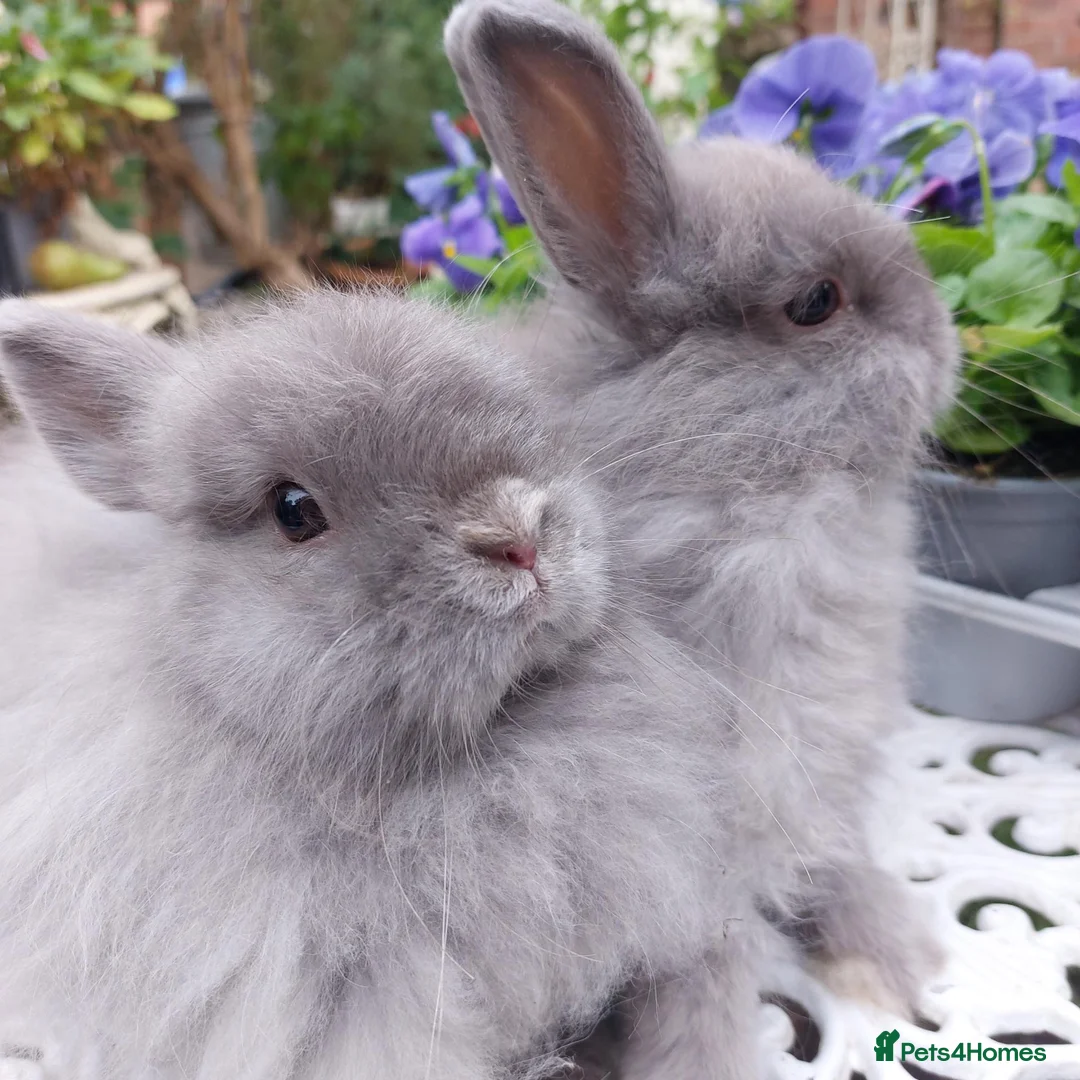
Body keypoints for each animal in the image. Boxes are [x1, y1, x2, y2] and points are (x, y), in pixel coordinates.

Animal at [444, 0, 960, 1067]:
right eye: (815, 303)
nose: (946, 338)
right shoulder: (676, 866)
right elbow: (703, 987)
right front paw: (707, 1062)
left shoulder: (812, 797)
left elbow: (838, 865)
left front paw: (897, 957)